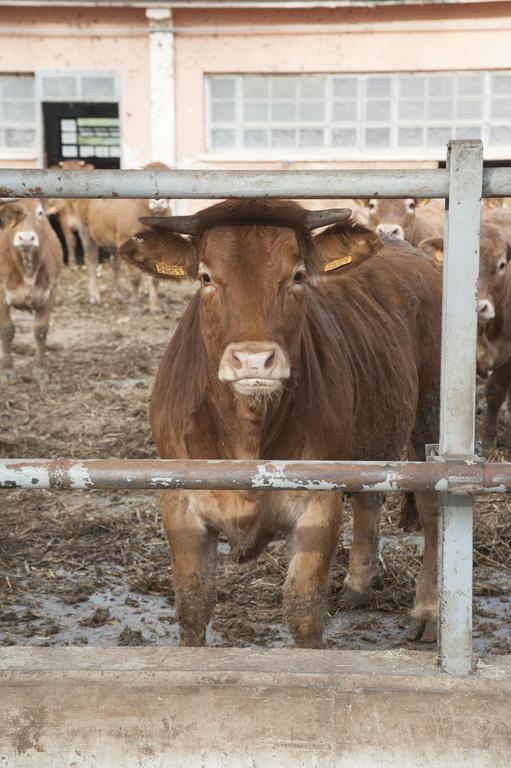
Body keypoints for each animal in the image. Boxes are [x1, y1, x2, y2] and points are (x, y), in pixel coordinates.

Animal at [0, 200, 63, 376]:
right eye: (12, 214)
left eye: (40, 212)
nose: (26, 238)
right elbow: (6, 330)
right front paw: (7, 370)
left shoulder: (51, 291)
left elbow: (41, 331)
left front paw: (41, 371)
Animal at [121, 200, 444, 648]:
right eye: (205, 276)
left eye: (297, 275)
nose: (254, 360)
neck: (248, 433)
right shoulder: (179, 502)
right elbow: (193, 605)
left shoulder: (318, 503)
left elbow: (304, 610)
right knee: (369, 497)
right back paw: (358, 585)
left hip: (430, 419)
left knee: (431, 514)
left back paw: (427, 612)